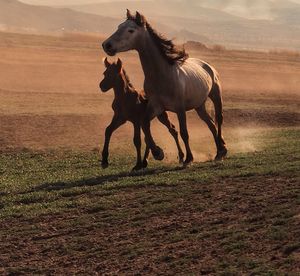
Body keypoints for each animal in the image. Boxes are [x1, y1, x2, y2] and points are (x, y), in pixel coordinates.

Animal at [103, 10, 227, 166]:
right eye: (119, 26)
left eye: (130, 30)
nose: (107, 45)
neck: (162, 75)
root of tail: (207, 65)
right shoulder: (157, 108)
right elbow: (145, 125)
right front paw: (158, 152)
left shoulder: (180, 109)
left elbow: (184, 132)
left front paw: (188, 158)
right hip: (199, 106)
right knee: (211, 124)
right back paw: (218, 152)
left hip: (216, 96)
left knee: (218, 119)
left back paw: (222, 150)